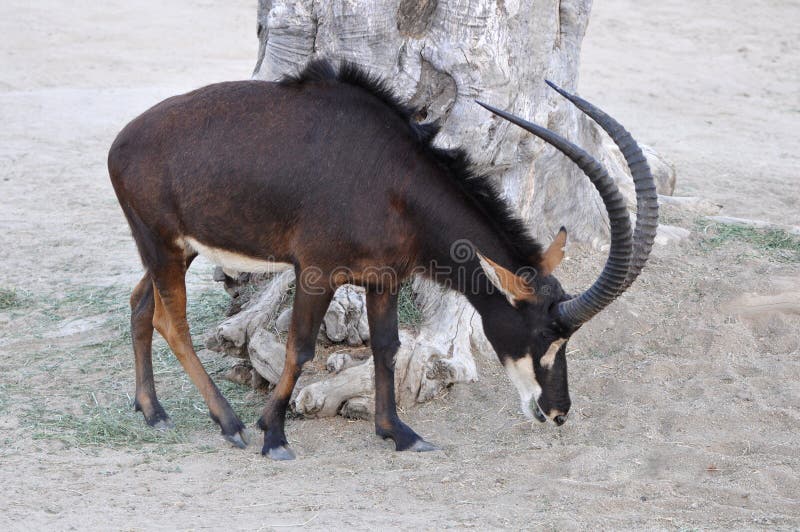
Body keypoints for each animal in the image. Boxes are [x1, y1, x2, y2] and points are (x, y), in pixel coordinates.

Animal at [108, 57, 656, 458]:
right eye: (546, 334)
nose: (559, 412)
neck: (396, 181)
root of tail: (120, 142)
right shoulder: (316, 272)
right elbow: (300, 349)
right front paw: (274, 434)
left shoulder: (384, 278)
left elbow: (388, 347)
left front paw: (399, 433)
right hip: (163, 244)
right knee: (171, 321)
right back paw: (230, 423)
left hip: (175, 250)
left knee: (140, 304)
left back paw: (153, 411)